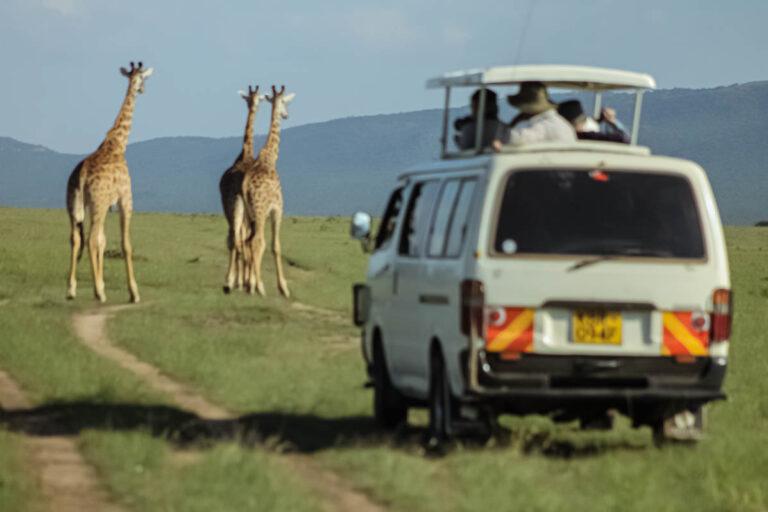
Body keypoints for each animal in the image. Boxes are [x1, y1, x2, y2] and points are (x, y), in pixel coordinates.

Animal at [65, 61, 152, 302]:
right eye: (143, 78)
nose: (143, 90)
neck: (117, 144)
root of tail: (82, 175)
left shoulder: (107, 206)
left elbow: (103, 242)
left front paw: (102, 284)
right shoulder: (125, 200)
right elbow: (125, 244)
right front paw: (134, 292)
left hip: (74, 206)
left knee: (77, 238)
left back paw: (71, 289)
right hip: (98, 204)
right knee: (91, 239)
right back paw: (98, 293)